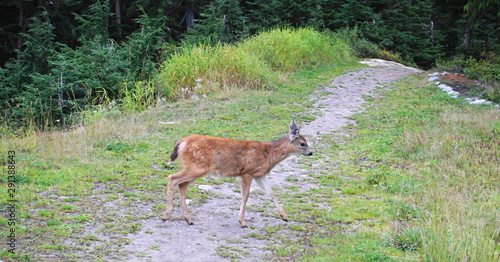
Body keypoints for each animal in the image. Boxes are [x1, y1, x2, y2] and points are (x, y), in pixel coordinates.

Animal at [163, 119, 312, 227]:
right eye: (302, 143)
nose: (311, 152)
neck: (268, 154)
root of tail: (182, 142)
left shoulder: (259, 174)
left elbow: (272, 192)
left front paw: (284, 217)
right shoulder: (247, 172)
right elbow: (245, 196)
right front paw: (242, 222)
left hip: (196, 168)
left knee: (182, 185)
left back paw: (188, 219)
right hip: (197, 167)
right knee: (172, 178)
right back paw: (167, 215)